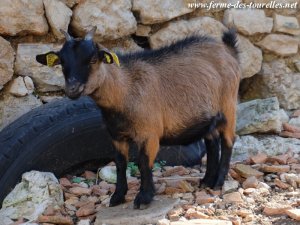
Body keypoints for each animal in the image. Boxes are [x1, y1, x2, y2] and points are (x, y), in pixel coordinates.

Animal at [36, 28, 240, 209]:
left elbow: (143, 163)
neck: (124, 89)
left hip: (228, 107)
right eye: (62, 62)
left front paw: (144, 198)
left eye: (93, 59)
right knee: (212, 143)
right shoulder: (116, 136)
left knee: (228, 141)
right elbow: (120, 163)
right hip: (208, 118)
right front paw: (117, 196)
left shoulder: (149, 134)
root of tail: (229, 49)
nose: (72, 89)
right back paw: (206, 180)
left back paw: (218, 181)